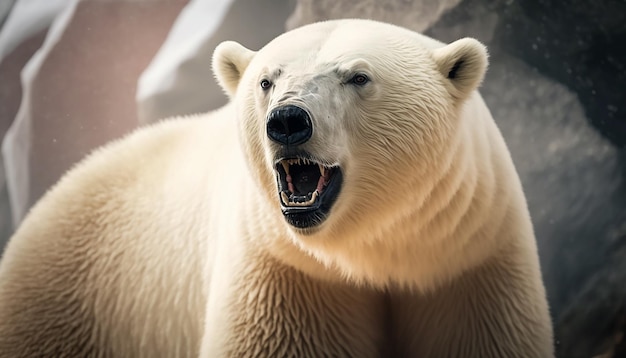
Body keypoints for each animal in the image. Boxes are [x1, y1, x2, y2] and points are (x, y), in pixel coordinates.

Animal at [0, 19, 552, 358]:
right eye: (267, 80)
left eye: (357, 77)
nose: (288, 121)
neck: (370, 248)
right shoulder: (284, 269)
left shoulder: (467, 259)